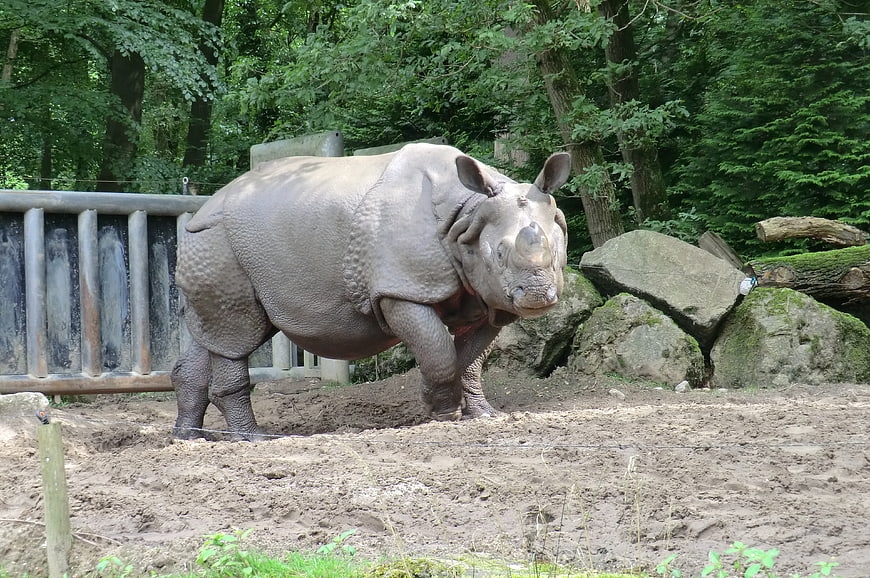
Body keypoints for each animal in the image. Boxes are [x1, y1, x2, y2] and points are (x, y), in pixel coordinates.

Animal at [171, 143, 571, 439]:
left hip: (214, 244)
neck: (468, 215)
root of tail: (203, 207)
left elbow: (471, 359)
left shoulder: (485, 295)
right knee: (237, 335)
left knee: (213, 336)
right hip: (217, 241)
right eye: (499, 254)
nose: (538, 296)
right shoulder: (399, 289)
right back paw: (253, 438)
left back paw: (190, 437)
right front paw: (442, 413)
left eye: (557, 250)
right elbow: (438, 350)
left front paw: (482, 415)